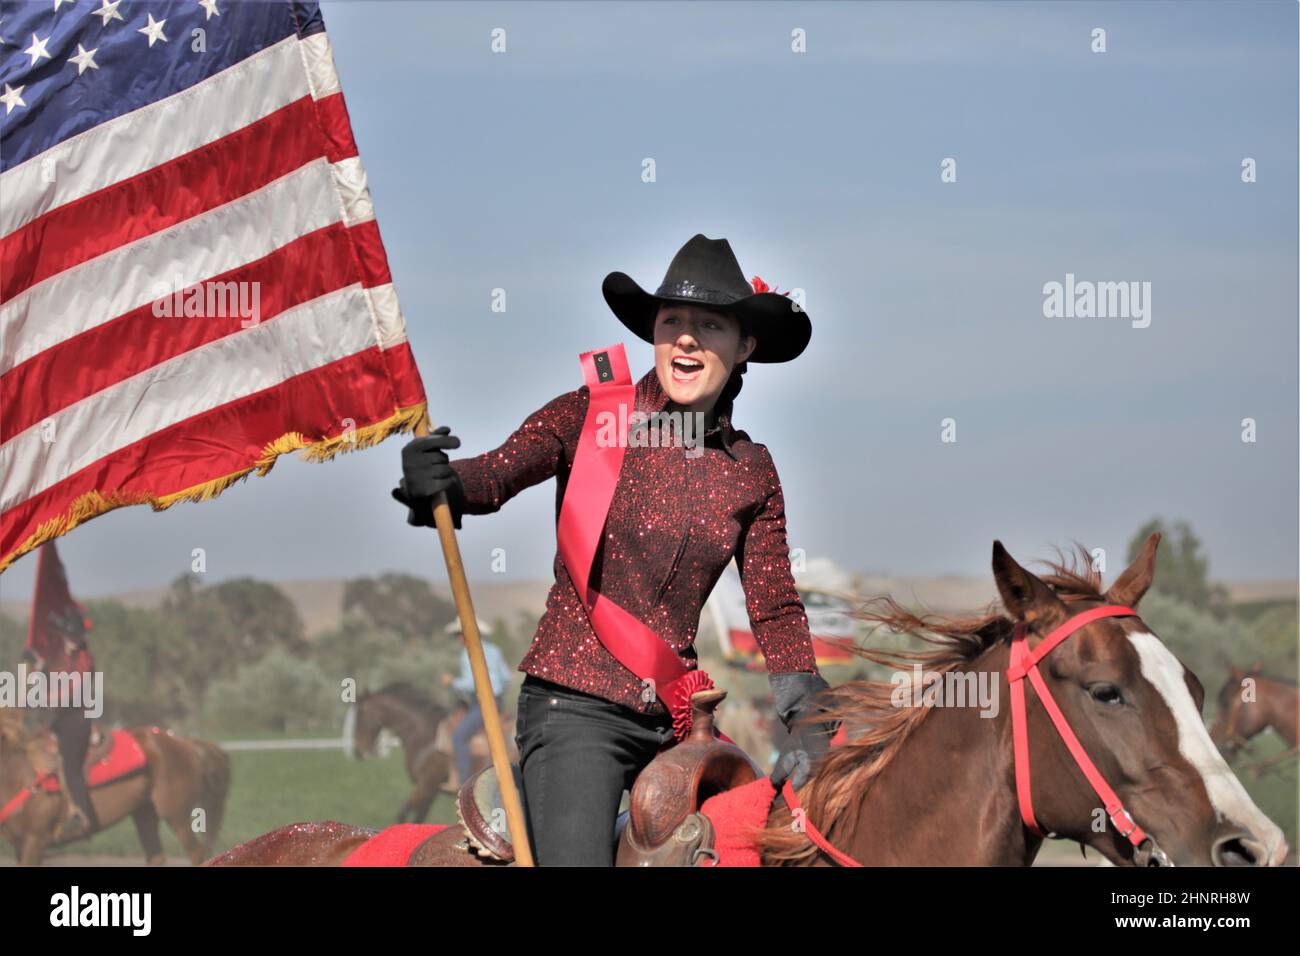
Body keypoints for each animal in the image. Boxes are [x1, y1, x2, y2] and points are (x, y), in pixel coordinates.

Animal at [0, 712, 231, 868]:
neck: (17, 774)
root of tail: (184, 742)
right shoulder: (21, 846)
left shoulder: (35, 841)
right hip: (145, 814)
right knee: (156, 857)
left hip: (177, 814)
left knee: (196, 852)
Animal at [345, 681, 517, 822]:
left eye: (361, 713)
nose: (358, 751)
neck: (426, 736)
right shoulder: (431, 792)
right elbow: (418, 819)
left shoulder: (425, 786)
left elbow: (403, 815)